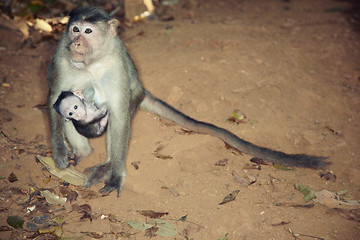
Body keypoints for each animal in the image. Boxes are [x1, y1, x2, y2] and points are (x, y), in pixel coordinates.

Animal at [47, 6, 326, 196]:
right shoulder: (61, 55)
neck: (90, 63)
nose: (77, 43)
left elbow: (119, 113)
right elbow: (56, 99)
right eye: (74, 29)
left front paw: (115, 174)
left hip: (135, 95)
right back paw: (83, 152)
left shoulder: (117, 61)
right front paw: (59, 152)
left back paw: (105, 164)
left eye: (88, 31)